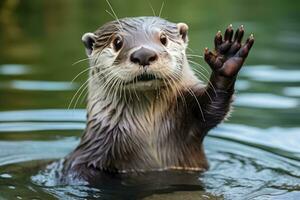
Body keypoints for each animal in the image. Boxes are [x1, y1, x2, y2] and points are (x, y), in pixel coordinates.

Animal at [62, 16, 254, 183]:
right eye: (117, 42)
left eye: (163, 38)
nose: (144, 54)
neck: (148, 130)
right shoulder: (91, 152)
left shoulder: (191, 120)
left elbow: (214, 109)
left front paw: (226, 57)